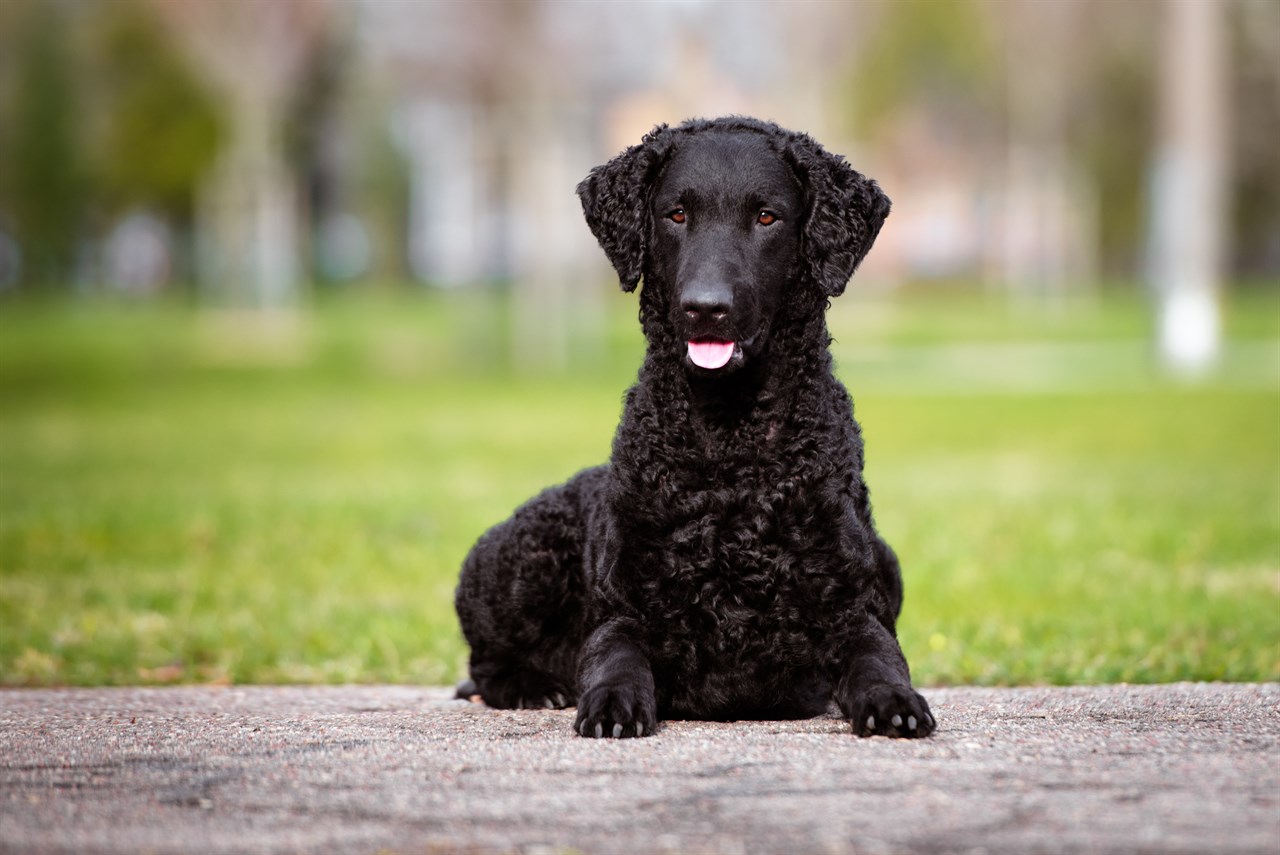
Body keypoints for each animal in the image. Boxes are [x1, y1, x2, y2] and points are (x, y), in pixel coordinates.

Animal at [455, 117, 936, 737]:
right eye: (677, 214)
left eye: (766, 217)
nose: (705, 307)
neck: (731, 447)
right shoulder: (623, 610)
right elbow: (614, 657)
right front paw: (612, 703)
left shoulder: (851, 608)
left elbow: (878, 657)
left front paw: (893, 700)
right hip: (521, 561)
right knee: (484, 665)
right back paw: (534, 688)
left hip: (888, 562)